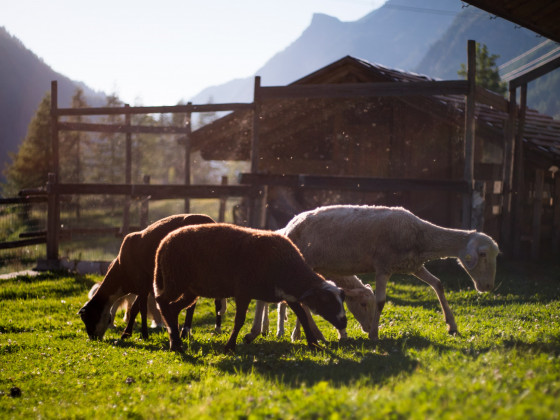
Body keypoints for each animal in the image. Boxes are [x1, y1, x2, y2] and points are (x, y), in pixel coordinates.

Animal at [79, 215, 217, 340]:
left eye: (88, 319)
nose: (93, 339)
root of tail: (211, 221)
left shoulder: (142, 282)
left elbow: (142, 309)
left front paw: (144, 335)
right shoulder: (144, 287)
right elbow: (135, 308)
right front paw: (126, 333)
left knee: (191, 305)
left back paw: (185, 331)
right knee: (191, 304)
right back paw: (185, 332)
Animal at [252, 206, 496, 342]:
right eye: (483, 254)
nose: (487, 287)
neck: (420, 235)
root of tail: (290, 224)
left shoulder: (412, 266)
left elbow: (438, 284)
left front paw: (452, 325)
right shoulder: (383, 267)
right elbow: (381, 301)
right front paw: (374, 335)